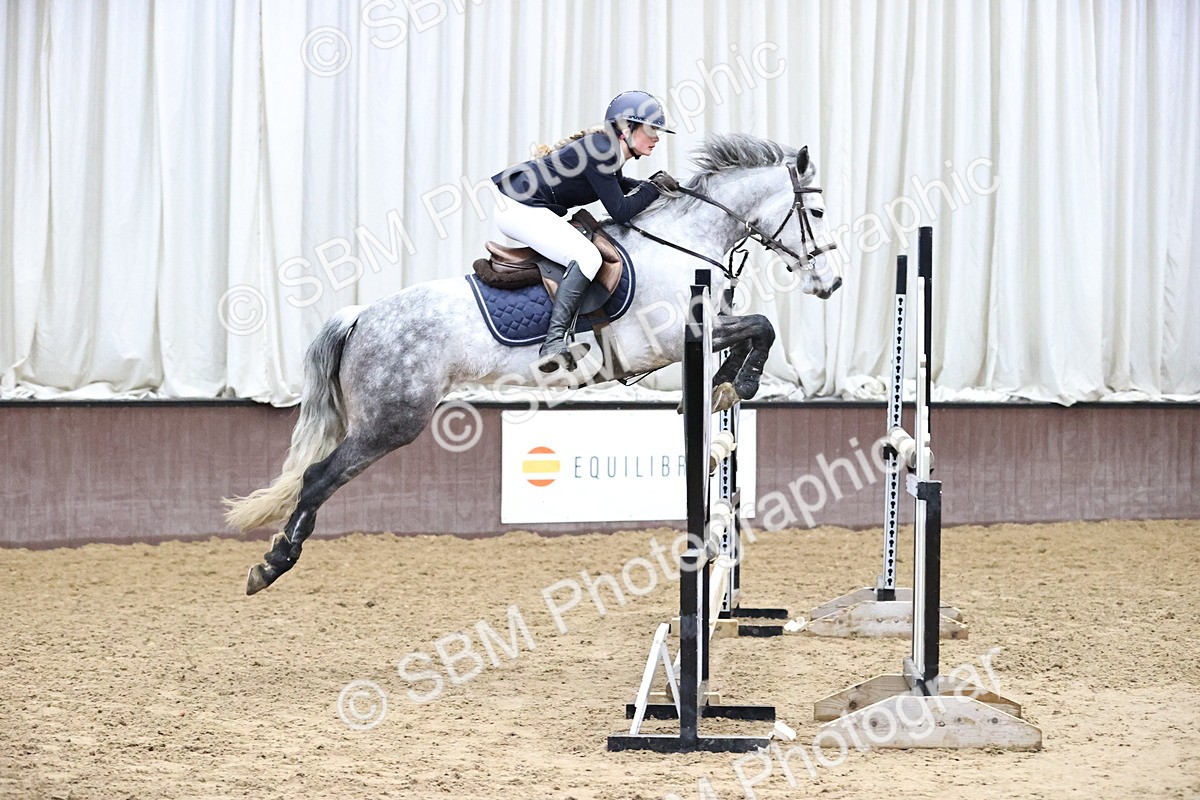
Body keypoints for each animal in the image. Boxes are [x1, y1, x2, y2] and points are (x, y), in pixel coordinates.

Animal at [225, 133, 843, 594]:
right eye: (816, 210)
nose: (831, 283)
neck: (683, 242)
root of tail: (361, 316)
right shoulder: (675, 338)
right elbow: (761, 328)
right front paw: (739, 382)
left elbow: (752, 332)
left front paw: (724, 386)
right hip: (391, 422)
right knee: (318, 476)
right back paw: (272, 563)